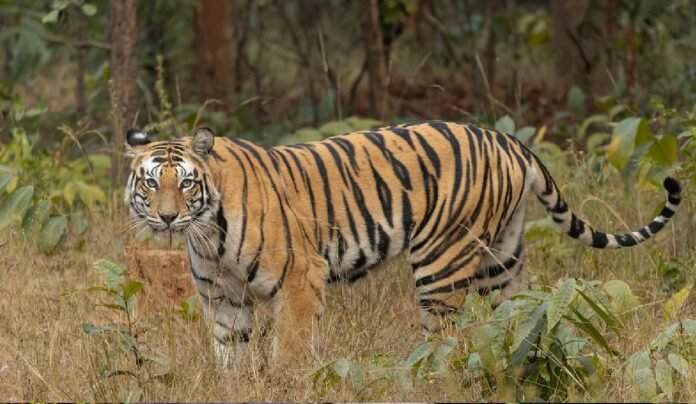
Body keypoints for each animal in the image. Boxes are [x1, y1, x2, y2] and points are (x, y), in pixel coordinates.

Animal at [124, 121, 681, 367]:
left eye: (186, 183)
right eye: (151, 182)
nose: (168, 216)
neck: (207, 233)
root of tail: (507, 138)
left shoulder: (300, 281)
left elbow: (290, 354)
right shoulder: (225, 301)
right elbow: (230, 362)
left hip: (441, 264)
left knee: (442, 342)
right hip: (503, 259)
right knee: (522, 314)